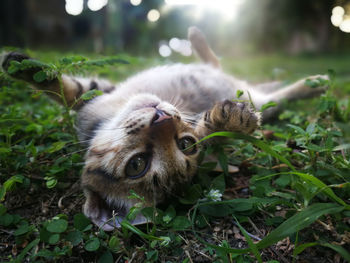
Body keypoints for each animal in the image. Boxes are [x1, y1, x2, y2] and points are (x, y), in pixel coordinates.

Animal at [0, 25, 328, 230]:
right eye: (137, 165)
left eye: (185, 144)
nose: (162, 118)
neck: (112, 114)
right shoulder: (94, 101)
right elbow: (67, 90)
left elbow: (67, 88)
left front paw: (229, 120)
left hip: (248, 92)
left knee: (239, 77)